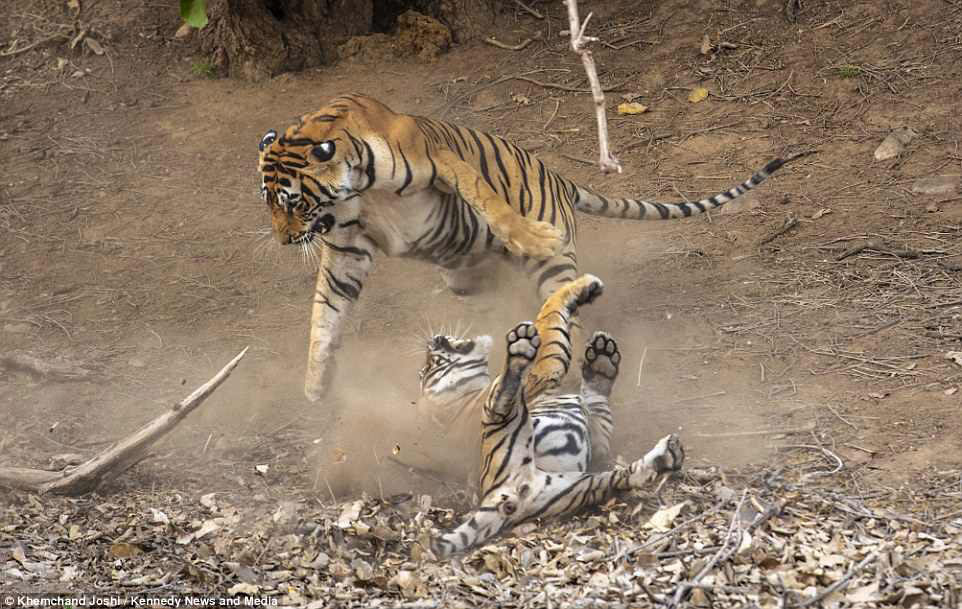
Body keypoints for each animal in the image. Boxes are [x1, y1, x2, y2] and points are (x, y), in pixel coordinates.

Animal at [256, 92, 808, 402]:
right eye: (269, 202)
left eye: (292, 201)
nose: (283, 240)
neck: (354, 187)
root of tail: (564, 181)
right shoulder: (347, 246)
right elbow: (325, 316)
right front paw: (315, 385)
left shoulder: (441, 158)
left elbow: (486, 197)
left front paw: (525, 230)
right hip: (466, 275)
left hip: (553, 268)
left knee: (567, 314)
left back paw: (546, 358)